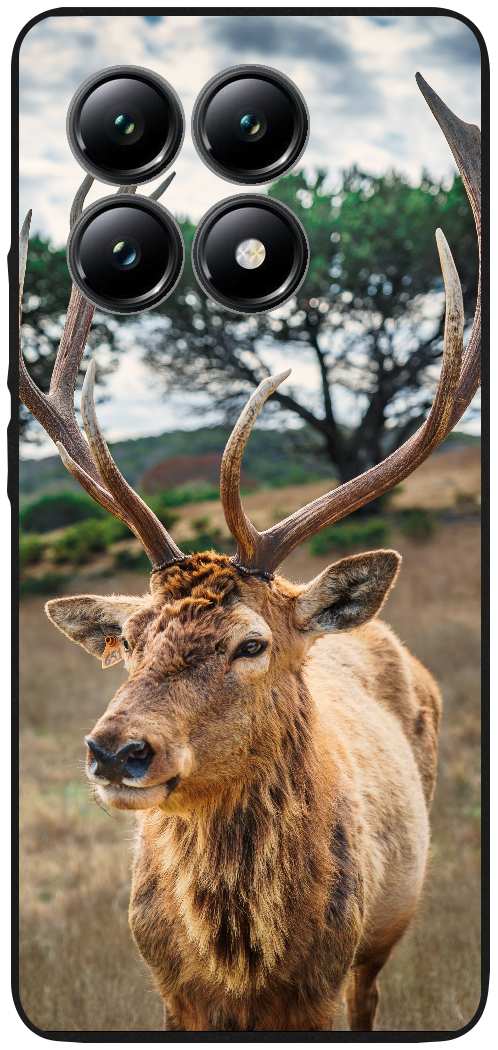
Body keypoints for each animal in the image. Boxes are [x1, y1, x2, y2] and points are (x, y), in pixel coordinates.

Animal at [18, 75, 480, 1031]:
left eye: (251, 643)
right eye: (131, 639)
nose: (116, 751)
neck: (242, 965)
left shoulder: (326, 982)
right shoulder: (169, 992)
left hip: (387, 932)